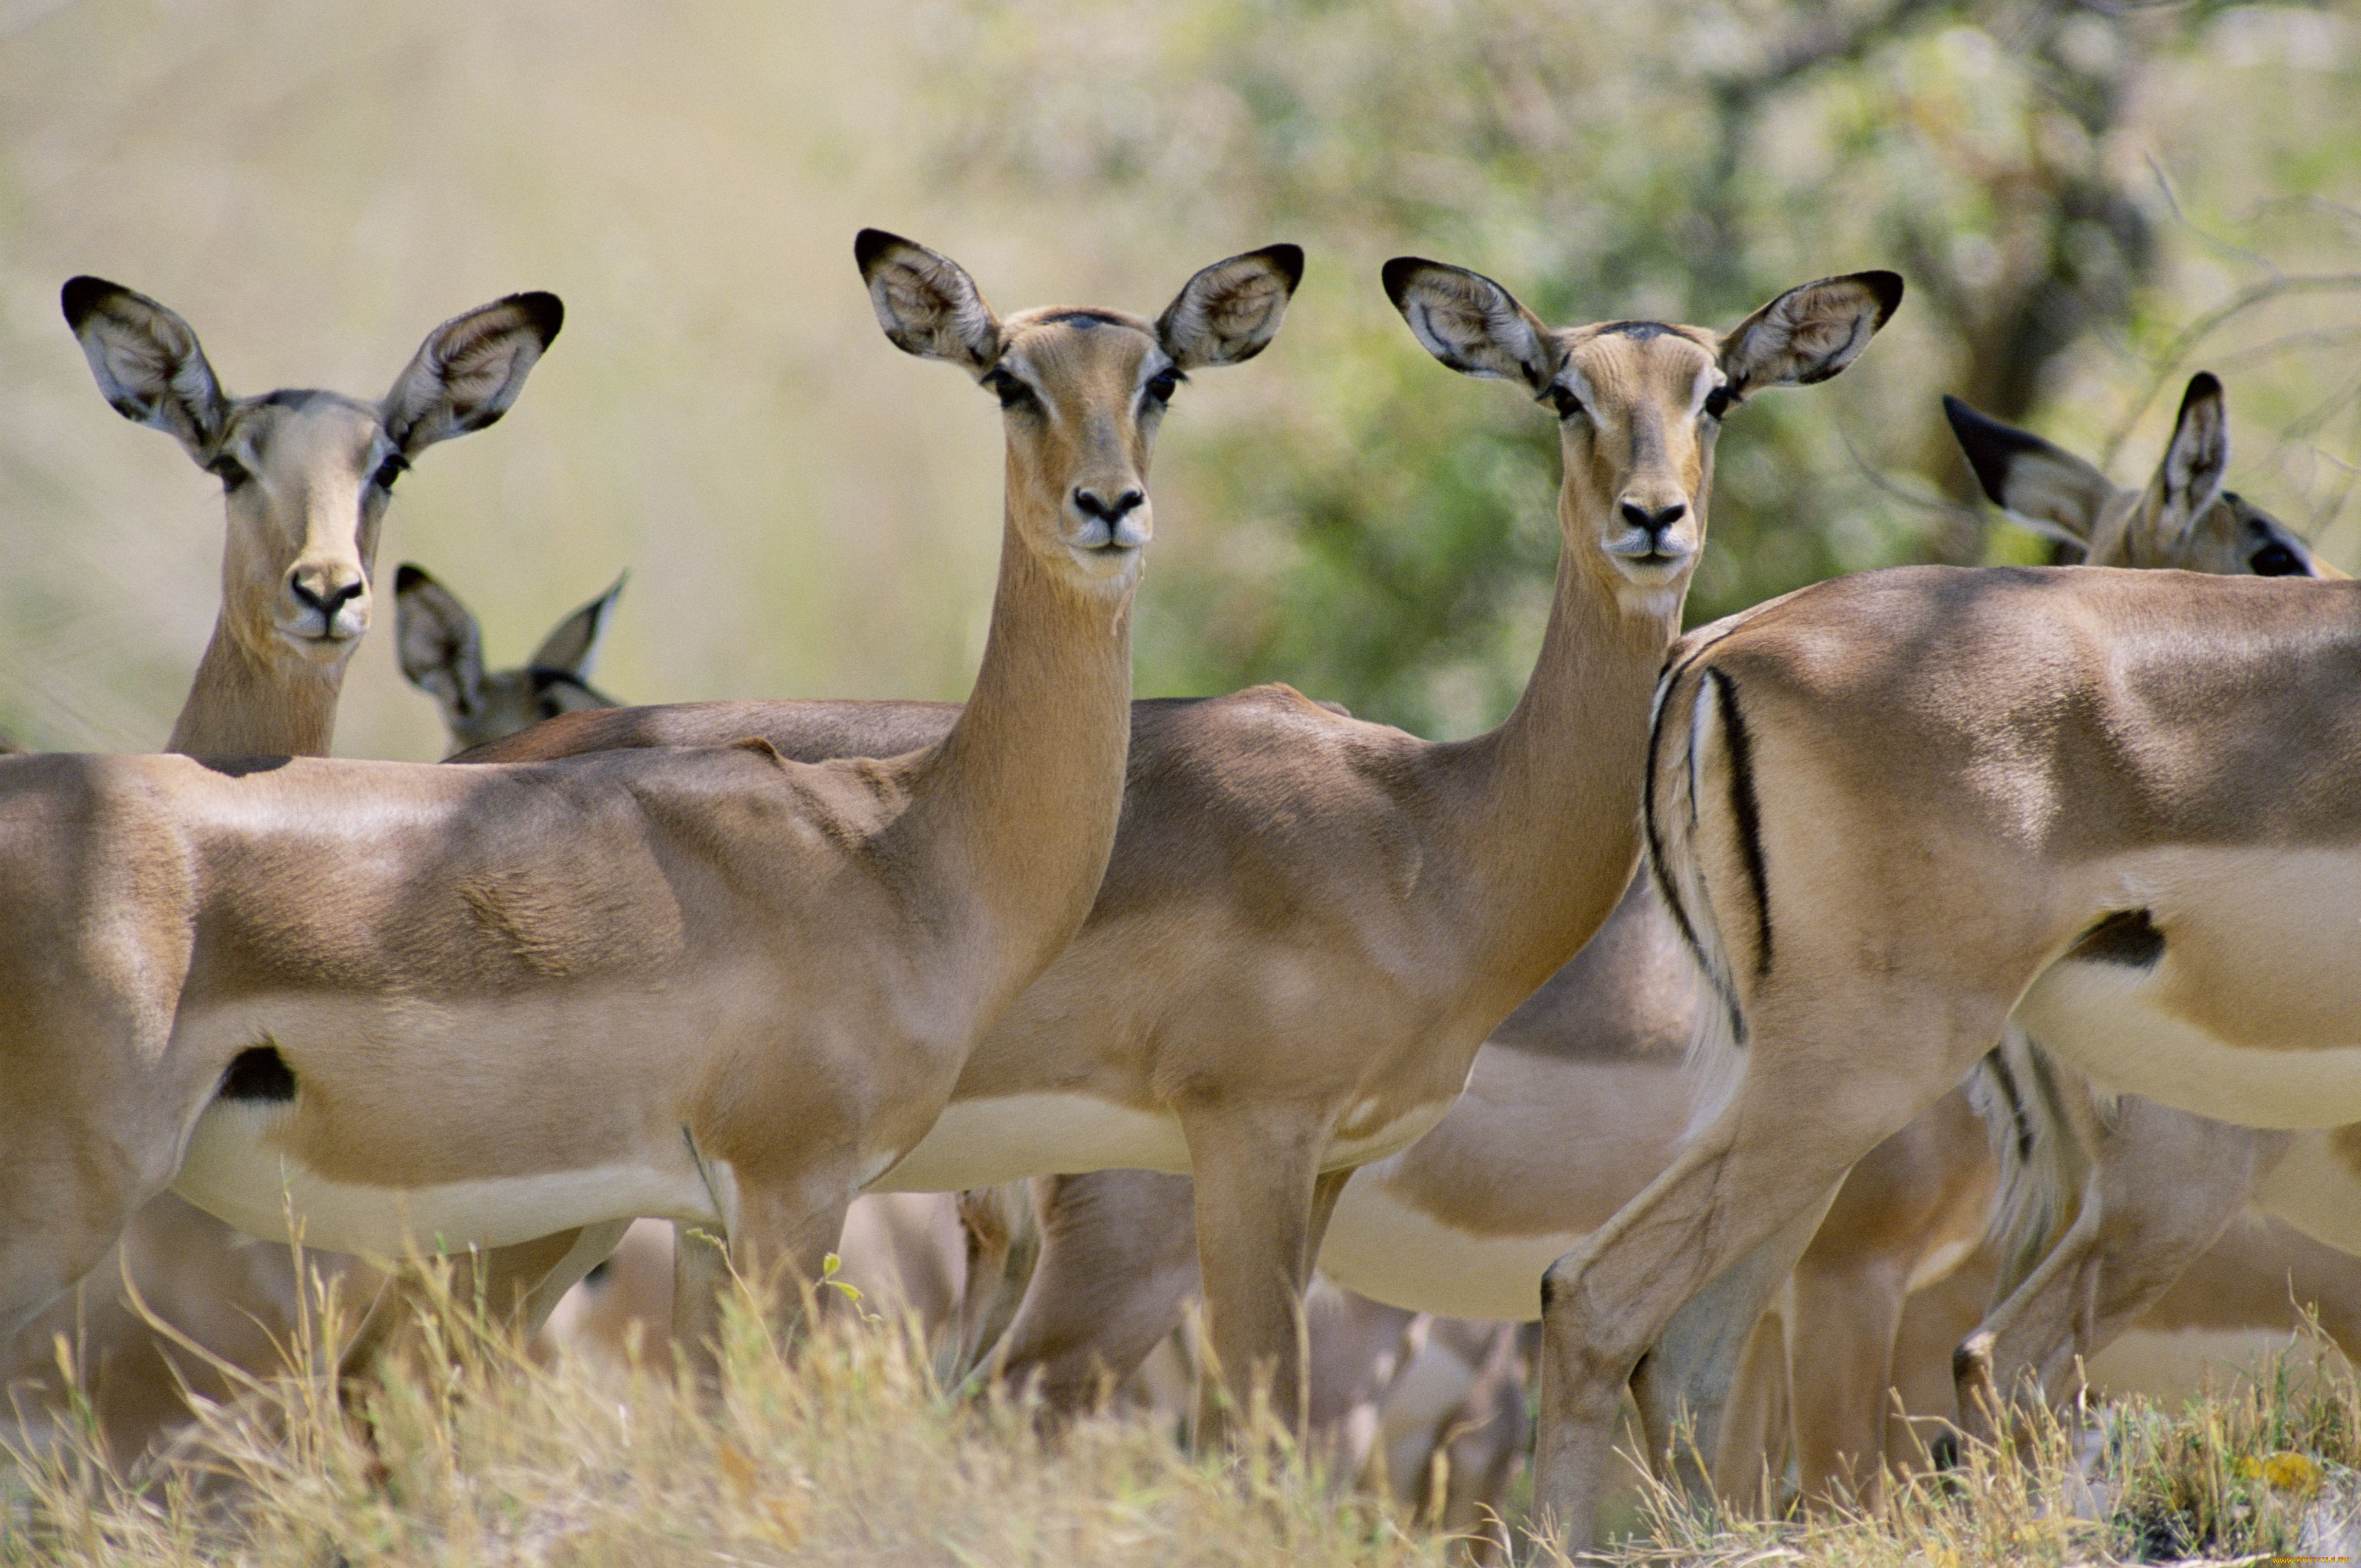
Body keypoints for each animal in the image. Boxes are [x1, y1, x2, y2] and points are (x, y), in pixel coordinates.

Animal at [470, 260, 1908, 1435]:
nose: (1652, 519)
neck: (1427, 830)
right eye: (1562, 390)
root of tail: (492, 762)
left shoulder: (1328, 1158)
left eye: (1716, 392)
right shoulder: (1249, 1139)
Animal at [1520, 371, 2361, 1558]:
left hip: (1809, 1105)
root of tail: (1717, 650)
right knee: (1599, 1295)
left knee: (1693, 1352)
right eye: (2272, 551)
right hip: (1899, 1088)